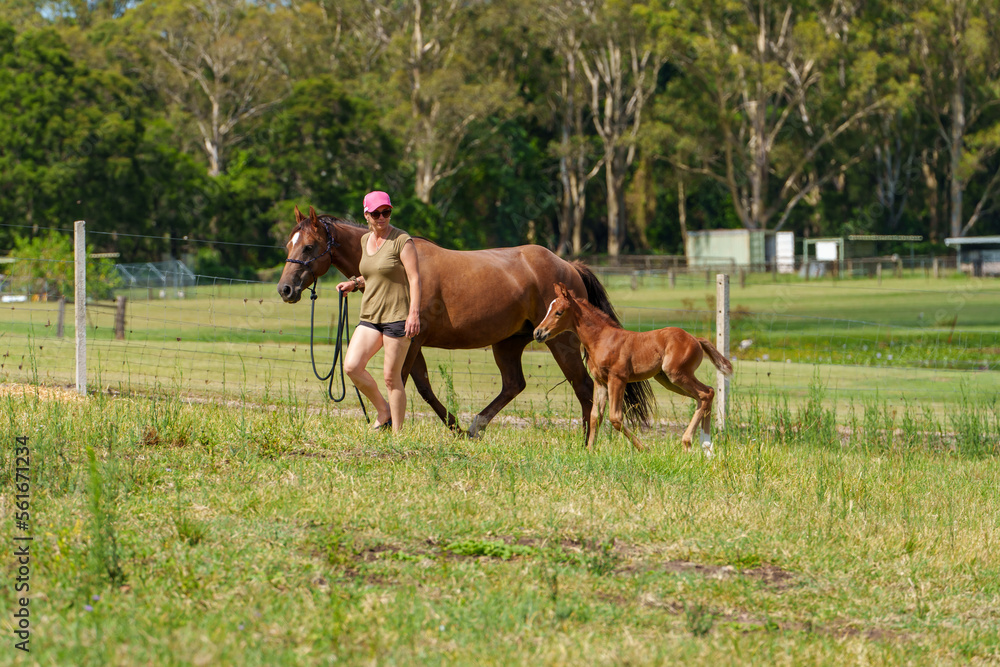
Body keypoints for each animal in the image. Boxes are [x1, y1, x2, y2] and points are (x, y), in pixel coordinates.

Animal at [278, 206, 652, 440]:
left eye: (309, 246)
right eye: (288, 245)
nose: (286, 289)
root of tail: (569, 266)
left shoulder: (411, 341)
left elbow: (402, 381)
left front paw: (391, 425)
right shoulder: (415, 343)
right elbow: (424, 387)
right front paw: (454, 428)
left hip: (561, 342)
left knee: (583, 388)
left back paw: (587, 441)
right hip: (508, 342)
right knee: (514, 384)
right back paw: (476, 427)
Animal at [532, 282, 736, 454]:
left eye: (559, 312)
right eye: (549, 309)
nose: (538, 333)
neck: (601, 339)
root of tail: (696, 339)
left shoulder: (617, 379)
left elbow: (615, 418)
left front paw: (645, 449)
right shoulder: (600, 382)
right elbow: (595, 416)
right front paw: (589, 450)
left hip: (677, 374)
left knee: (706, 393)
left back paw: (691, 443)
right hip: (667, 379)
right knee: (706, 394)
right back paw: (706, 448)